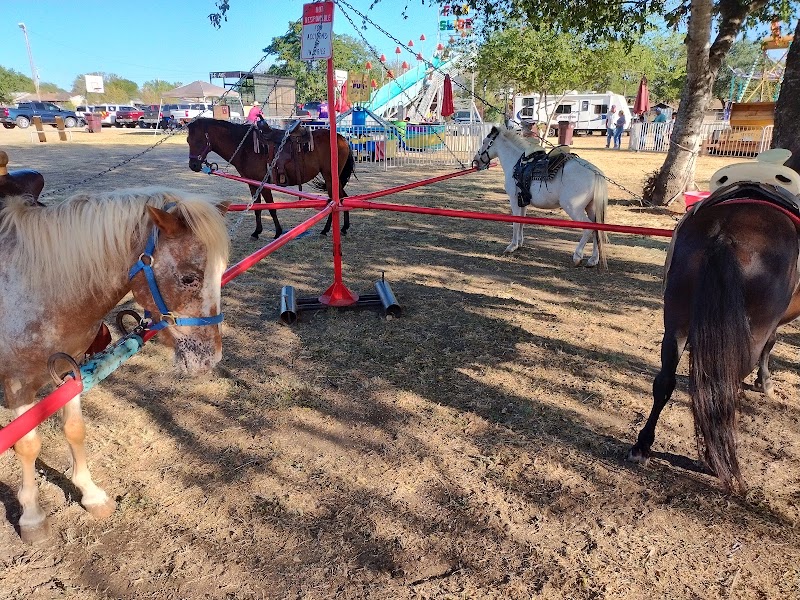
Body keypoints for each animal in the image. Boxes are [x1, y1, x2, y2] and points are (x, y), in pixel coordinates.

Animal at [0, 188, 230, 542]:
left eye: (222, 271)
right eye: (189, 278)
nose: (211, 358)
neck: (36, 287)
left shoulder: (70, 372)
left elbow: (75, 429)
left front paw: (91, 494)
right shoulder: (18, 384)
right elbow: (26, 445)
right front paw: (32, 517)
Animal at [187, 118, 355, 239]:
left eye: (198, 140)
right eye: (188, 141)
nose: (193, 165)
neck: (245, 147)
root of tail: (342, 139)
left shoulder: (263, 183)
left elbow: (271, 207)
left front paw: (278, 231)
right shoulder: (252, 183)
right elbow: (257, 207)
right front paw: (257, 232)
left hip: (330, 177)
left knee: (337, 199)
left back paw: (328, 229)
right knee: (343, 197)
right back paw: (343, 227)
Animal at [472, 126, 609, 268]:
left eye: (484, 141)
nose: (476, 162)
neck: (516, 163)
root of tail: (596, 173)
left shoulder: (514, 200)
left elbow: (515, 222)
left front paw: (512, 246)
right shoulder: (523, 202)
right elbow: (521, 221)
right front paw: (519, 243)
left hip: (573, 208)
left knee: (588, 228)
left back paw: (577, 256)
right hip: (591, 208)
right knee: (597, 229)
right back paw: (593, 259)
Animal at [628, 152, 800, 492]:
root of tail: (725, 234)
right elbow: (771, 346)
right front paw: (765, 383)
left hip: (676, 321)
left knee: (664, 381)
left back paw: (643, 445)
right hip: (748, 332)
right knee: (725, 389)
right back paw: (715, 459)